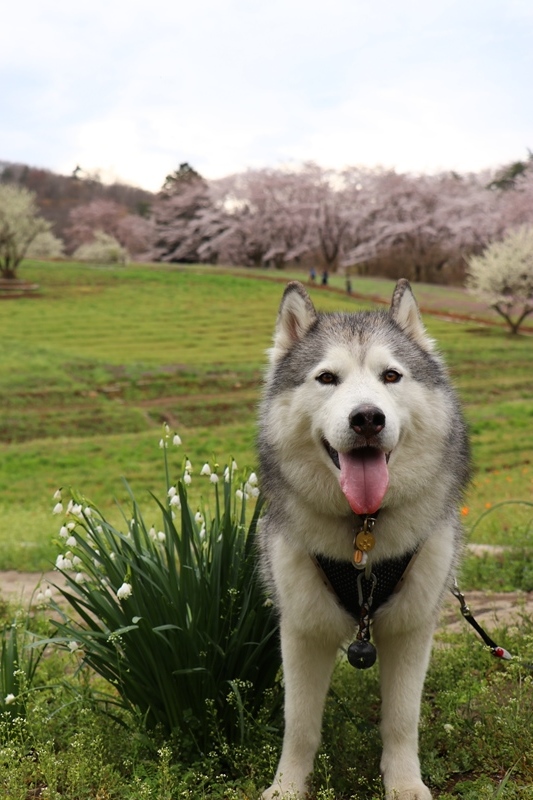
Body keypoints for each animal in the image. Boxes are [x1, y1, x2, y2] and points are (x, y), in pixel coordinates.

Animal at [258, 278, 470, 796]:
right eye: (326, 378)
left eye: (390, 375)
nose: (368, 418)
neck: (364, 532)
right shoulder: (302, 629)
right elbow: (300, 724)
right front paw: (288, 786)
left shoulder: (412, 628)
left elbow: (401, 718)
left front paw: (404, 784)